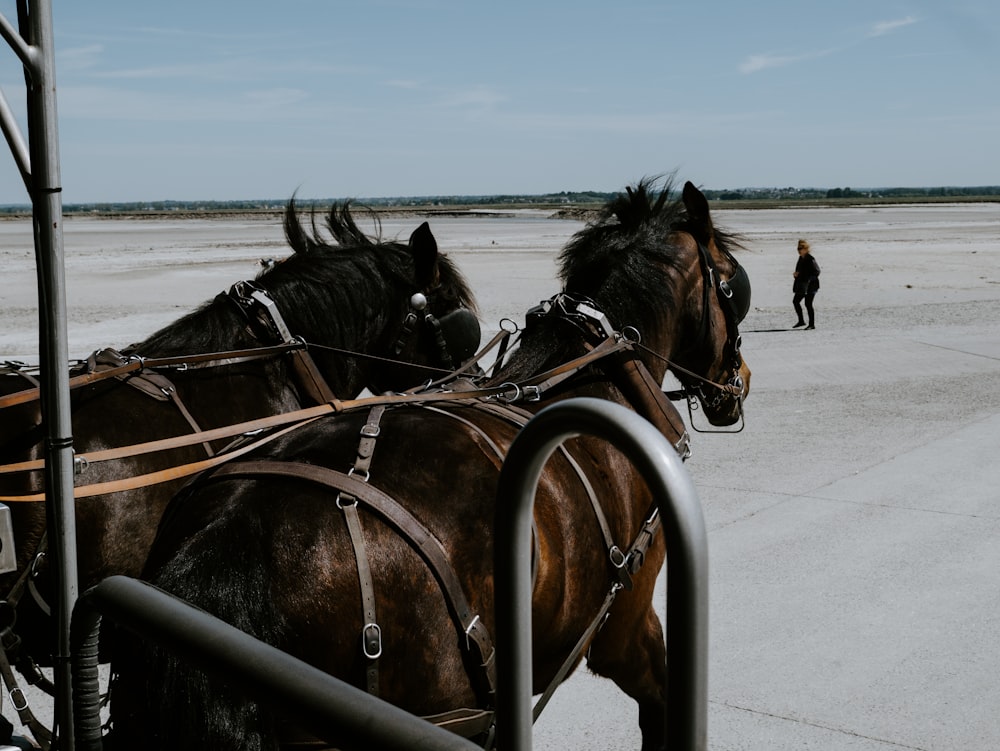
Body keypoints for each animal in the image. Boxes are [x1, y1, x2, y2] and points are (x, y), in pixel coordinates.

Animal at [109, 181, 752, 751]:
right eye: (732, 284)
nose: (738, 380)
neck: (594, 377)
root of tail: (229, 539)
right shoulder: (627, 626)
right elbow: (659, 709)